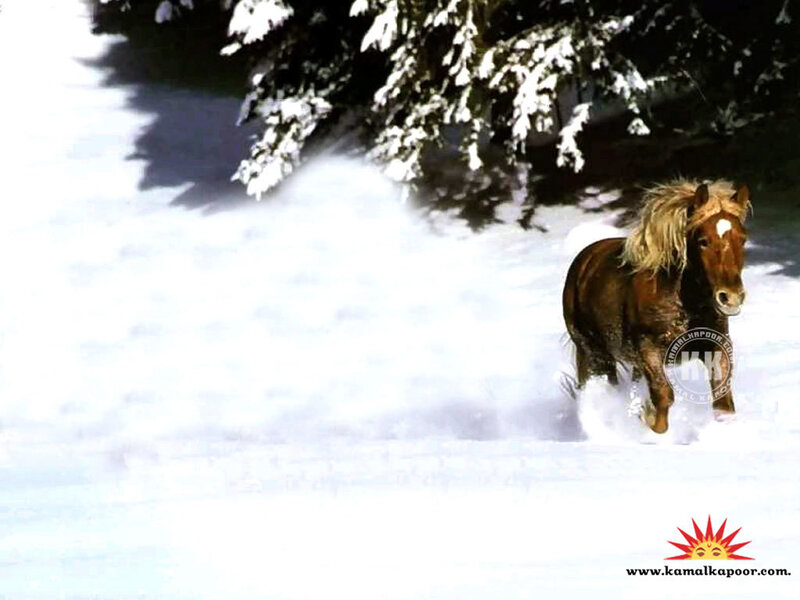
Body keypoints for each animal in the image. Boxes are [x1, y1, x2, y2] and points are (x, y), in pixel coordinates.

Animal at [562, 180, 751, 433]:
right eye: (703, 241)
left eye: (742, 239)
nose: (730, 297)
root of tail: (583, 261)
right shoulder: (648, 350)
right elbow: (663, 396)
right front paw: (649, 424)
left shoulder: (716, 345)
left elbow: (723, 400)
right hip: (594, 351)